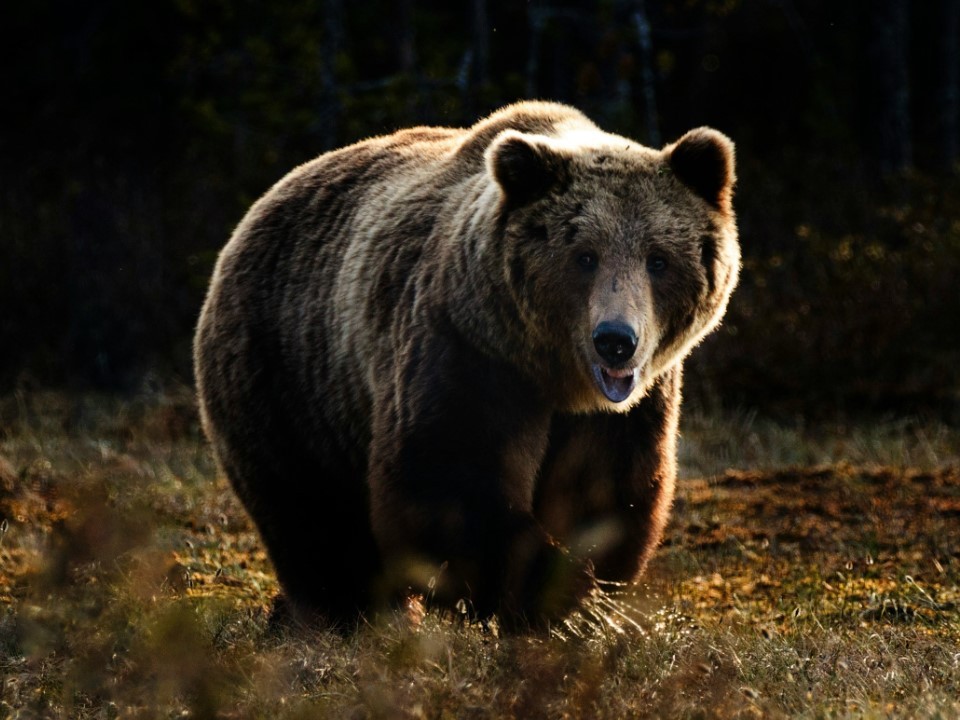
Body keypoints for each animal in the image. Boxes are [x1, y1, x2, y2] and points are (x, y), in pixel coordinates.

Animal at [191, 101, 740, 632]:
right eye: (584, 256)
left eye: (658, 259)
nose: (615, 342)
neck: (555, 375)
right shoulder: (468, 349)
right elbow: (447, 480)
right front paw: (558, 601)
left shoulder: (628, 408)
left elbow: (607, 492)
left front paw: (587, 597)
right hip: (288, 373)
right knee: (312, 515)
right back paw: (344, 614)